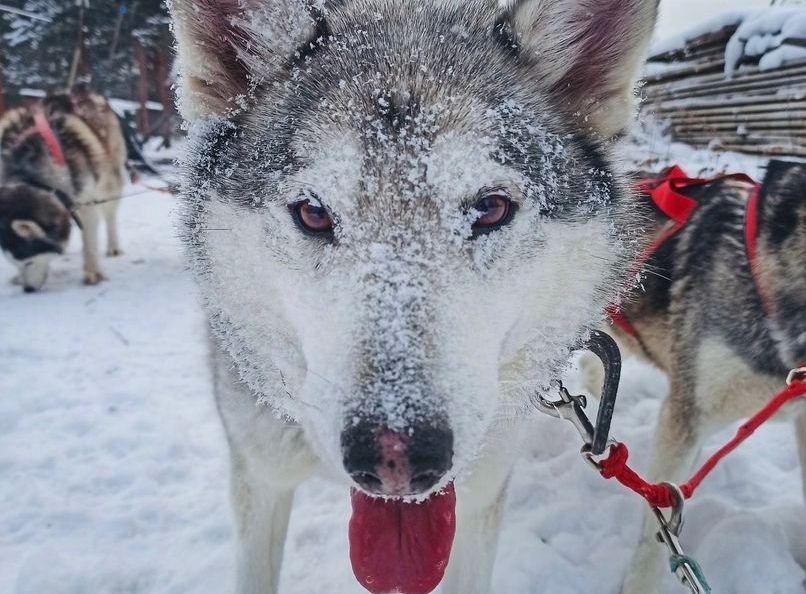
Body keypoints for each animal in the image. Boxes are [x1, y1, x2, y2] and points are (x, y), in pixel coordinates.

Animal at [0, 88, 127, 290]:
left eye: (29, 262)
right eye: (15, 264)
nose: (28, 290)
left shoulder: (86, 201)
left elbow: (89, 241)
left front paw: (92, 272)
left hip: (109, 180)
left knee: (110, 215)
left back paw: (113, 246)